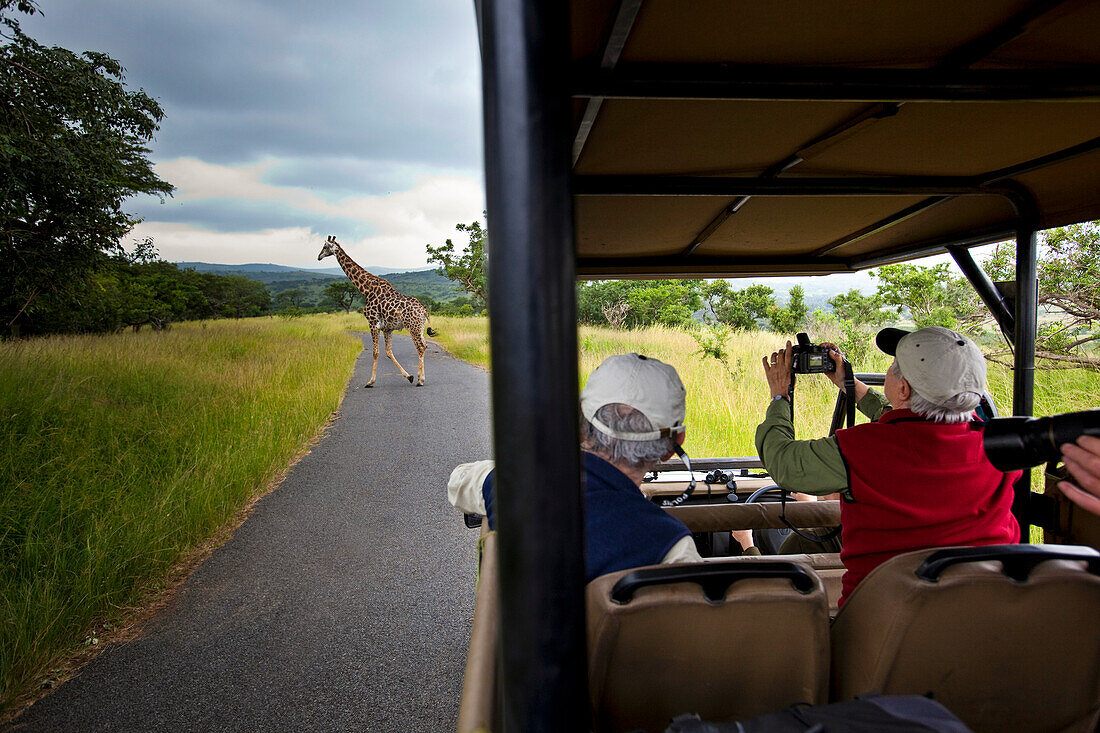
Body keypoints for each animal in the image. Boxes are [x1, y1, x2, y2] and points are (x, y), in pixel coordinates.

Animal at [316, 235, 435, 385]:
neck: (366, 289)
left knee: (420, 346)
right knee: (424, 345)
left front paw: (370, 381)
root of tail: (424, 310)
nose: (319, 256)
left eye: (325, 246)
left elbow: (375, 352)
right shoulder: (387, 328)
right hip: (419, 327)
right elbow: (388, 352)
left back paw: (421, 379)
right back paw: (419, 377)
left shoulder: (372, 322)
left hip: (412, 326)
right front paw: (409, 376)